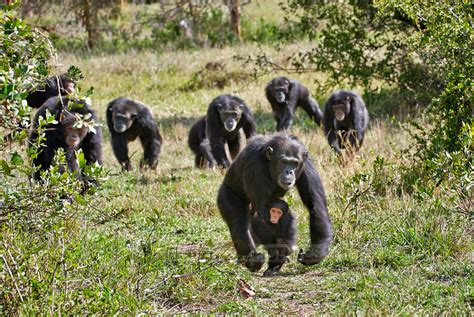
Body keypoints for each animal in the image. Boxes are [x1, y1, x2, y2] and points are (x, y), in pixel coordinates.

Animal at [217, 132, 332, 270]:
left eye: (295, 163)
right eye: (284, 162)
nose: (289, 171)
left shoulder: (307, 164)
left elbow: (315, 205)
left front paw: (315, 253)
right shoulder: (254, 163)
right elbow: (262, 213)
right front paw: (276, 256)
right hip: (225, 195)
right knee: (239, 222)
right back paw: (252, 260)